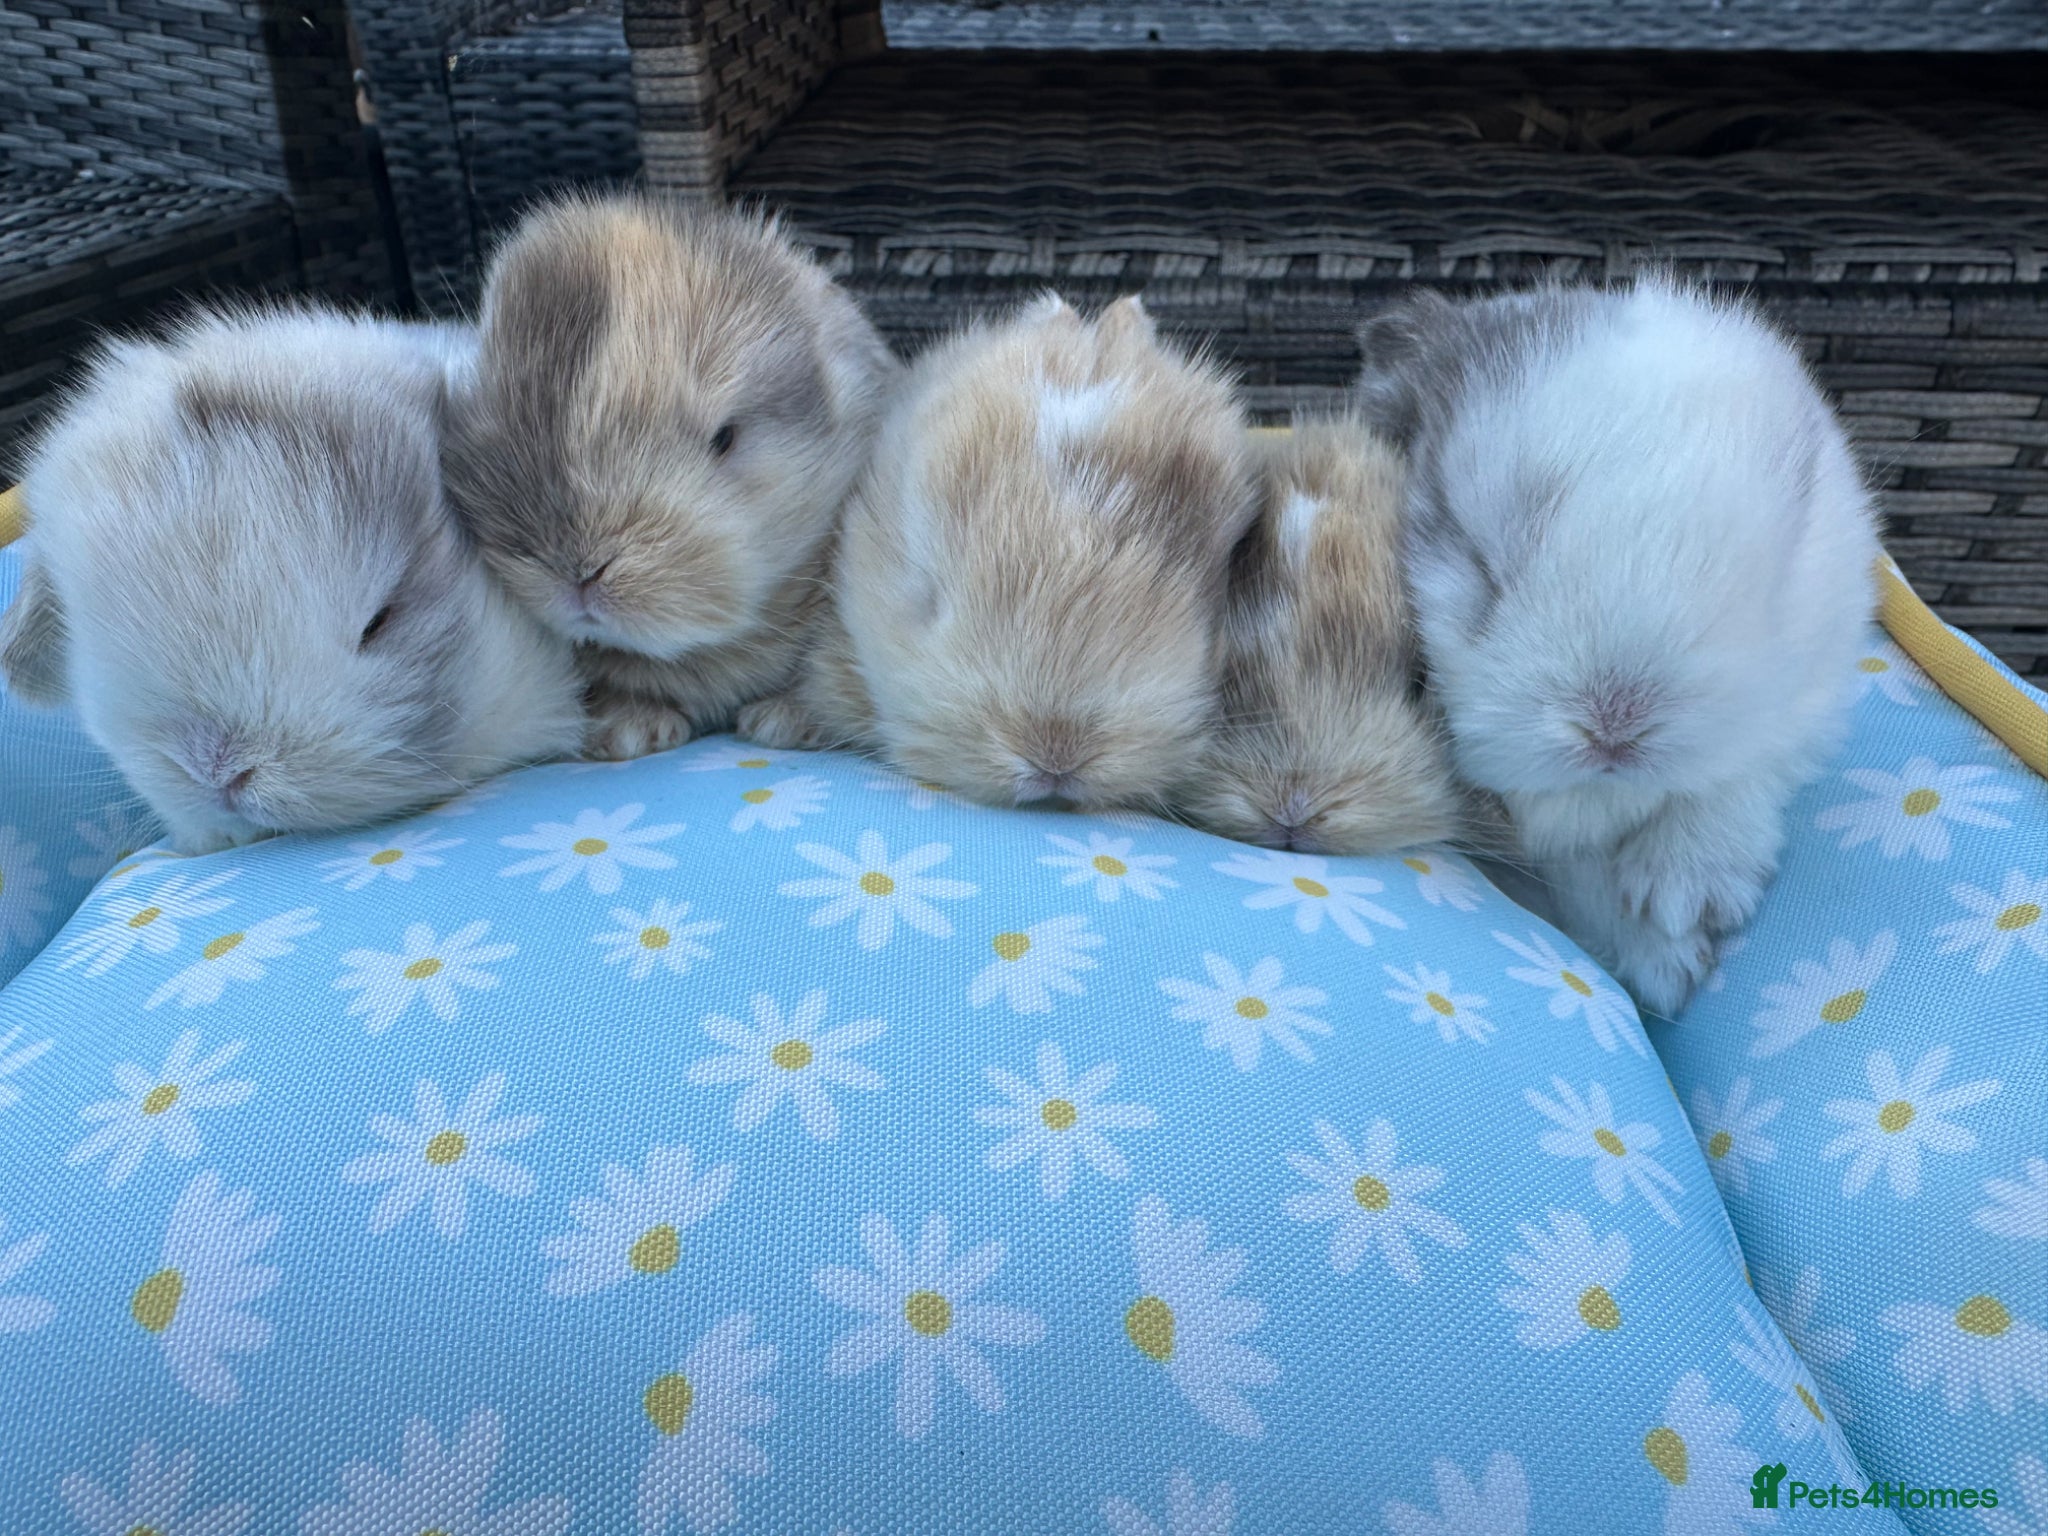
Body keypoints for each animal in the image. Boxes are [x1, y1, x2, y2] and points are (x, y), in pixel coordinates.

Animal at [1356, 277, 1881, 1015]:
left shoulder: (1809, 701)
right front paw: (1667, 965)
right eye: (1479, 562)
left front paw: (1682, 901)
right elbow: (1577, 869)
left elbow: (1741, 775)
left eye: (1770, 578)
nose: (1614, 732)